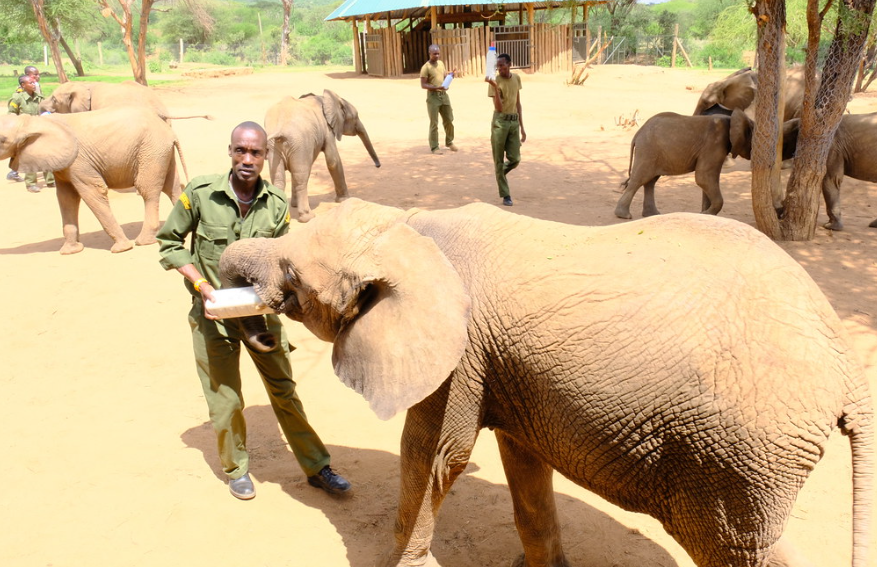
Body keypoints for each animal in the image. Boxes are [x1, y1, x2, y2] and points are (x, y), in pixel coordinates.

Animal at [0, 107, 186, 254]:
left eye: (2, 140)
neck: (31, 121)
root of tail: (168, 130)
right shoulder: (63, 165)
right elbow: (66, 198)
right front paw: (70, 251)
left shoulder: (79, 161)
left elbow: (93, 192)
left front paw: (122, 248)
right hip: (160, 151)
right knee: (172, 187)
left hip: (151, 150)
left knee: (148, 190)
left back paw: (144, 241)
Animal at [219, 199, 868, 567]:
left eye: (292, 278)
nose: (254, 331)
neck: (410, 227)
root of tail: (848, 366)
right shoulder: (510, 367)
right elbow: (522, 462)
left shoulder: (460, 354)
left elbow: (432, 454)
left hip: (738, 453)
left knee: (736, 546)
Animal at [264, 90, 380, 223]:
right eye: (356, 117)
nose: (377, 165)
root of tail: (280, 129)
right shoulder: (327, 129)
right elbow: (332, 160)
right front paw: (345, 200)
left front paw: (293, 204)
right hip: (299, 143)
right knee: (301, 177)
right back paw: (308, 217)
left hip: (275, 147)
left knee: (279, 179)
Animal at [612, 109, 796, 220]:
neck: (732, 118)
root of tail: (637, 134)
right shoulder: (714, 143)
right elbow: (703, 177)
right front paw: (708, 214)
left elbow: (708, 180)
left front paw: (705, 214)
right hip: (648, 150)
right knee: (639, 179)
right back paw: (625, 216)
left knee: (650, 181)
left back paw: (653, 215)